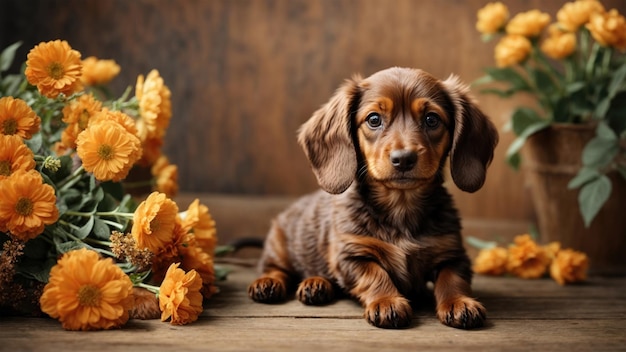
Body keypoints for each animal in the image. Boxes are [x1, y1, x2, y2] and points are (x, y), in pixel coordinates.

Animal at [249, 67, 498, 328]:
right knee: (275, 268)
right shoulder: (351, 254)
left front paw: (460, 302)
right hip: (279, 245)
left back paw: (317, 284)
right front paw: (387, 302)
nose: (403, 159)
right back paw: (270, 283)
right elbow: (375, 274)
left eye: (432, 119)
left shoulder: (452, 253)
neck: (401, 207)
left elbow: (453, 278)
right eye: (374, 119)